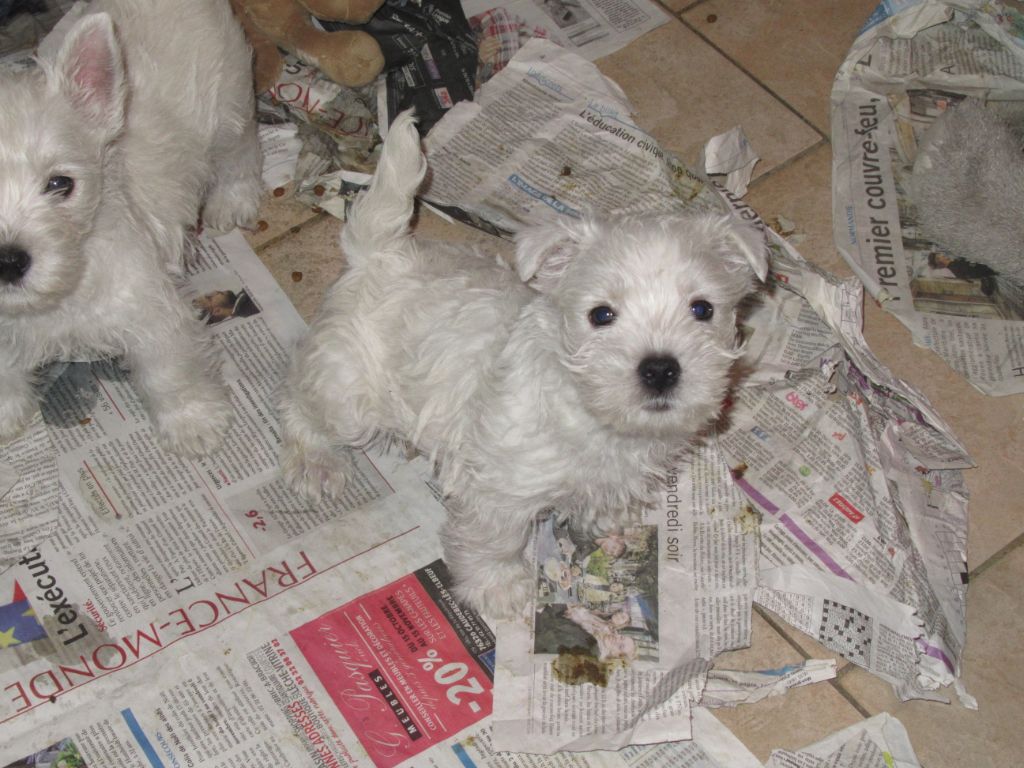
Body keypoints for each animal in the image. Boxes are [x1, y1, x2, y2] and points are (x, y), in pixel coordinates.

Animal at [0, 0, 262, 456]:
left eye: (60, 184)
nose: (10, 262)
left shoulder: (148, 310)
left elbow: (168, 371)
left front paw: (193, 423)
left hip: (230, 107)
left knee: (241, 154)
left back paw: (233, 200)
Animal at [278, 112, 770, 618]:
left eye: (702, 309)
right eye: (601, 315)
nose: (659, 370)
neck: (595, 416)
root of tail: (380, 253)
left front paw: (611, 519)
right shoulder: (498, 486)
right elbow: (494, 541)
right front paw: (499, 588)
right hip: (345, 392)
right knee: (298, 401)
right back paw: (316, 463)